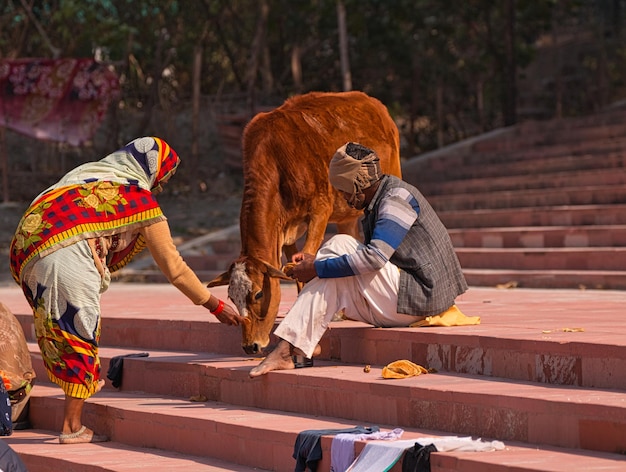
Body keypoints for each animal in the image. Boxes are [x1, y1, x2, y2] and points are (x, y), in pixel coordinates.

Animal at [205, 89, 400, 354]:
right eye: (231, 298)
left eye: (258, 295)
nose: (250, 346)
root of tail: (372, 102)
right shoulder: (285, 229)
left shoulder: (320, 209)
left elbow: (306, 258)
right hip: (346, 216)